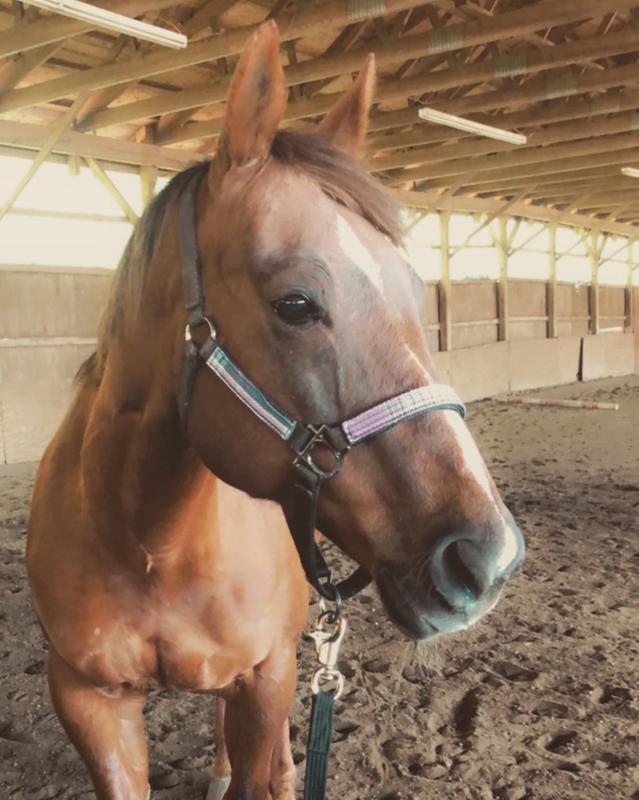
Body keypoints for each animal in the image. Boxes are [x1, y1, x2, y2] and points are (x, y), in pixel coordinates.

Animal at [26, 20, 525, 800]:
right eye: (295, 303)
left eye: (416, 292)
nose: (487, 560)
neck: (149, 542)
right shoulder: (87, 699)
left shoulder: (265, 678)